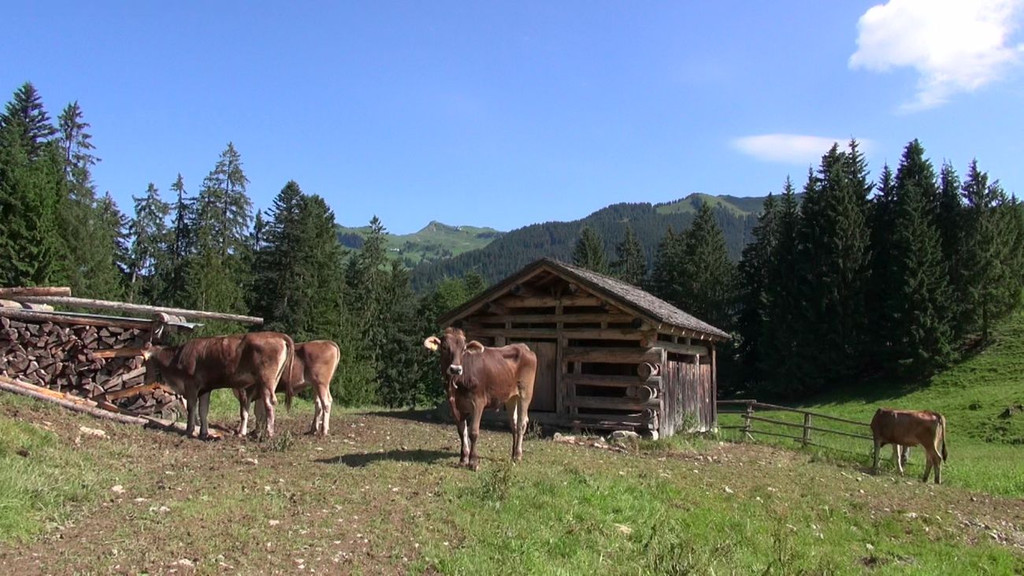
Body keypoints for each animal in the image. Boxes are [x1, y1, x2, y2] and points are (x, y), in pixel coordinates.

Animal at [142, 332, 295, 440]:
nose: (148, 379)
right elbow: (203, 410)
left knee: (270, 404)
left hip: (266, 381)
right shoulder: (205, 389)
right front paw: (203, 432)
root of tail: (276, 335)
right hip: (272, 381)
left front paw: (189, 430)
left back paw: (269, 434)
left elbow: (192, 408)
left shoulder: (191, 385)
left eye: (145, 360)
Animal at [423, 327, 537, 471]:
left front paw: (473, 462)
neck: (458, 385)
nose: (455, 369)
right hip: (511, 397)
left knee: (522, 423)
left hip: (525, 393)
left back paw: (518, 455)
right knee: (514, 423)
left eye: (464, 349)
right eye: (444, 347)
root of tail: (522, 346)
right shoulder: (455, 405)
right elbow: (462, 431)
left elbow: (473, 431)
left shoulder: (478, 402)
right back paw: (512, 454)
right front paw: (463, 459)